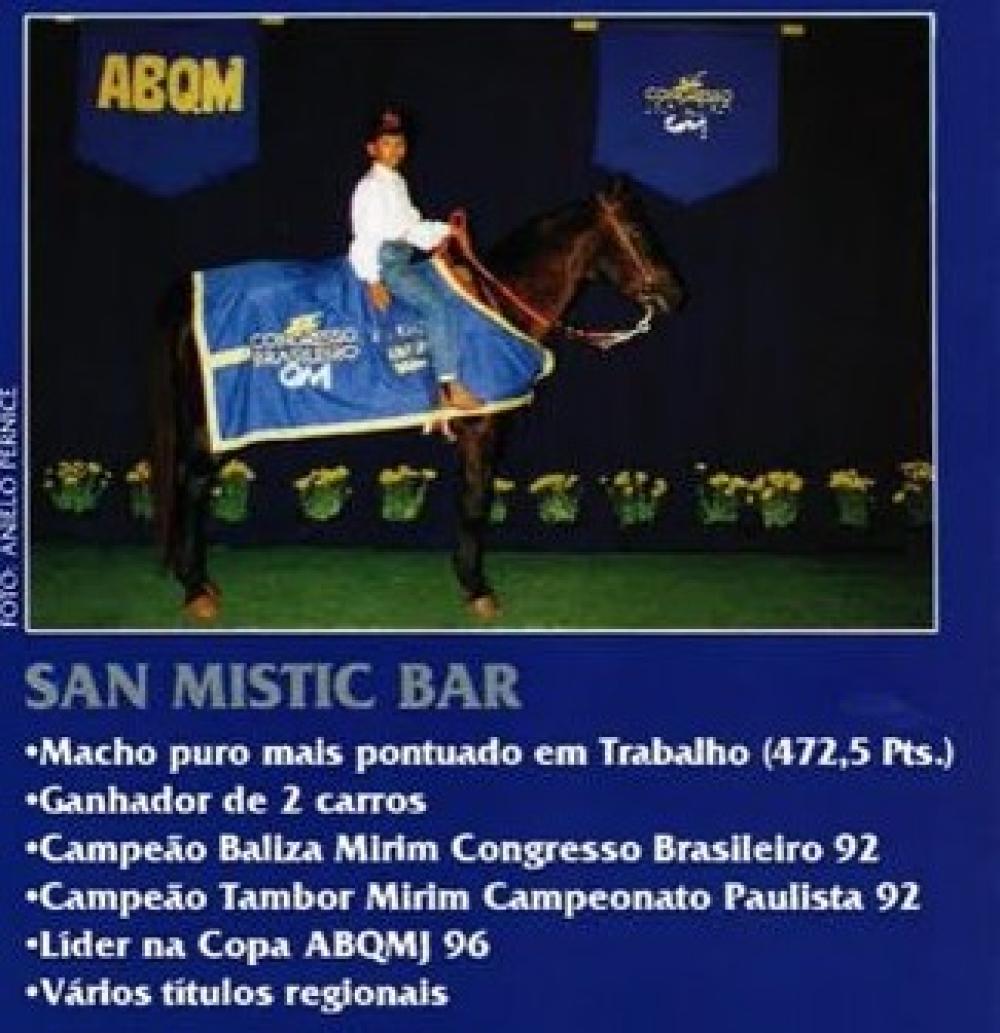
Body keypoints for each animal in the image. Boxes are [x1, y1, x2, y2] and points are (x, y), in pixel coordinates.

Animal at [152, 177, 684, 622]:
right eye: (636, 231)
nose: (677, 294)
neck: (496, 302)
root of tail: (186, 297)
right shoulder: (482, 429)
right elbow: (475, 503)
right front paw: (477, 589)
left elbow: (468, 500)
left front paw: (466, 578)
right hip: (212, 431)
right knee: (192, 485)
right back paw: (195, 589)